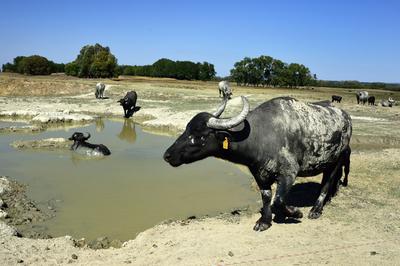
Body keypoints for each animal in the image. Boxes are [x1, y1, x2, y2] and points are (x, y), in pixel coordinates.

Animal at [164, 96, 352, 232]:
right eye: (186, 129)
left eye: (200, 135)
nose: (167, 155)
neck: (262, 136)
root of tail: (346, 117)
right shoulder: (259, 174)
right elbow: (267, 197)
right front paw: (265, 222)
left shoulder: (289, 173)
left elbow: (279, 200)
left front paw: (296, 212)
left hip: (338, 159)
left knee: (328, 182)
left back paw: (316, 209)